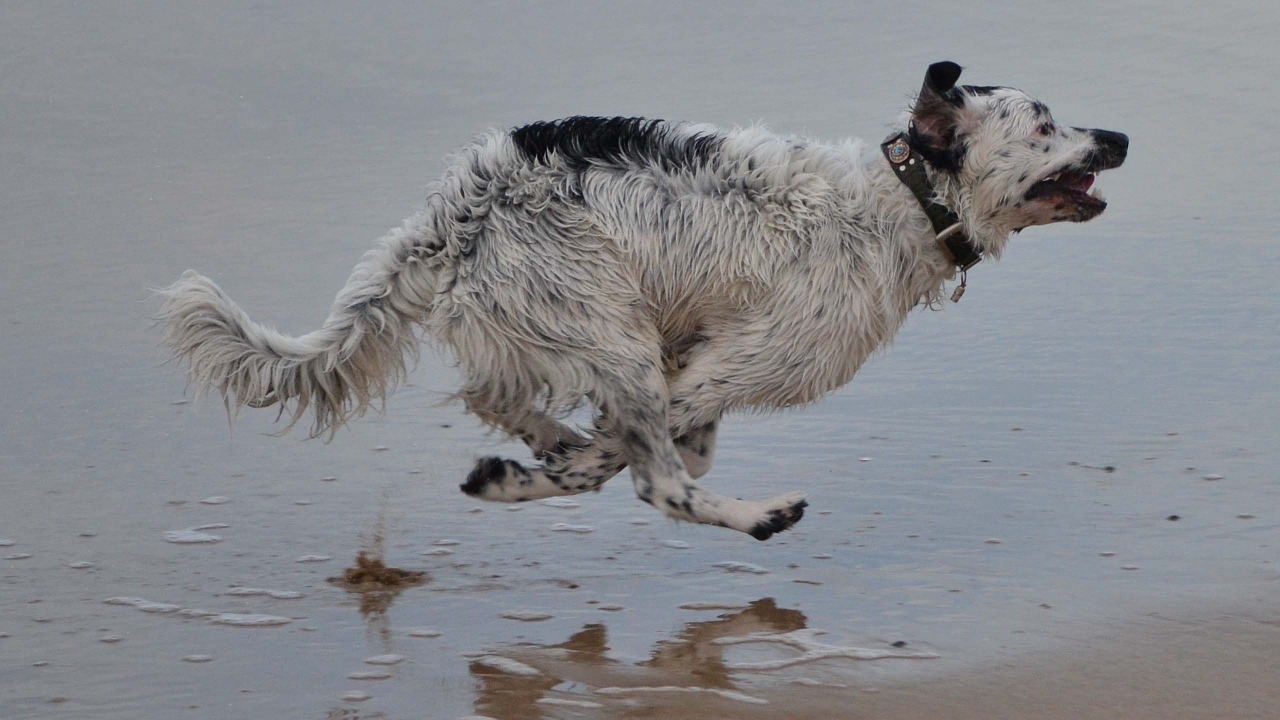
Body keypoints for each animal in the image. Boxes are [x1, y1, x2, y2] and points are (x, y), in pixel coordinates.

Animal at [160, 63, 1131, 538]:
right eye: (1046, 125)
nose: (1120, 135)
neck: (896, 204)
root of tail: (450, 212)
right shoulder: (712, 367)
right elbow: (642, 463)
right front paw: (540, 473)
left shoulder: (689, 367)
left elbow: (654, 445)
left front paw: (545, 460)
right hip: (608, 332)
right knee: (657, 484)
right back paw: (754, 516)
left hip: (571, 331)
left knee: (496, 394)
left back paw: (542, 446)